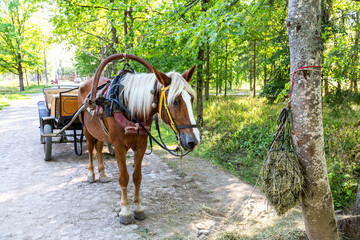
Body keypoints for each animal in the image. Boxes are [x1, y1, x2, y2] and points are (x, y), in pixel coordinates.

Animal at [78, 54, 200, 225]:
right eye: (175, 101)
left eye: (192, 98)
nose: (193, 140)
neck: (127, 106)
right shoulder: (119, 147)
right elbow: (124, 178)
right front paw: (125, 210)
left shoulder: (141, 146)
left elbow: (137, 177)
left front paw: (138, 207)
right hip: (86, 129)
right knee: (90, 149)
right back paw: (91, 174)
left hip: (100, 132)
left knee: (99, 148)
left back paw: (102, 174)